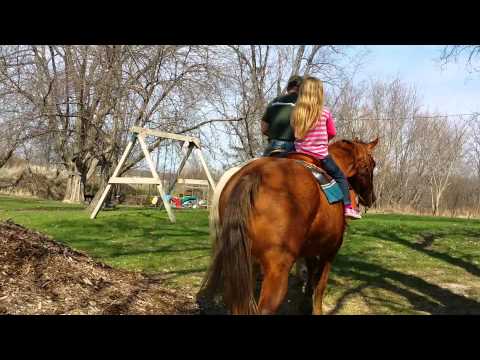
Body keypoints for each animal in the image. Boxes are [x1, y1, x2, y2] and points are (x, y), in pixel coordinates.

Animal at [198, 139, 378, 316]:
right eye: (372, 164)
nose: (372, 198)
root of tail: (254, 173)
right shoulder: (330, 251)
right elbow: (320, 285)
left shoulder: (310, 249)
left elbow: (311, 276)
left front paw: (304, 305)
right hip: (278, 268)